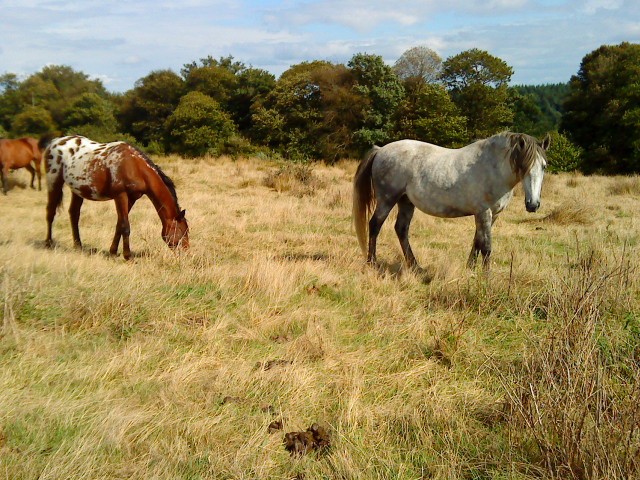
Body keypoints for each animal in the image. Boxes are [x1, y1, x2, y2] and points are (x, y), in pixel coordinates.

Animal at [44, 135, 189, 260]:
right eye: (182, 231)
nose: (186, 253)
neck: (135, 166)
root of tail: (55, 142)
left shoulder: (132, 198)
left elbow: (119, 224)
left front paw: (113, 252)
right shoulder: (121, 196)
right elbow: (125, 225)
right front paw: (128, 256)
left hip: (78, 190)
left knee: (74, 214)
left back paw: (78, 245)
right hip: (54, 182)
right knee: (51, 212)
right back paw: (49, 243)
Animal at [350, 131, 552, 270]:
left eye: (543, 166)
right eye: (523, 167)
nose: (533, 205)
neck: (492, 168)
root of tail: (381, 150)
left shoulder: (491, 215)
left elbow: (477, 242)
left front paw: (470, 269)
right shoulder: (483, 212)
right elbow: (486, 246)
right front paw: (487, 278)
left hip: (406, 201)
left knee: (401, 229)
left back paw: (415, 266)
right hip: (387, 199)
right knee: (375, 225)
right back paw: (372, 263)